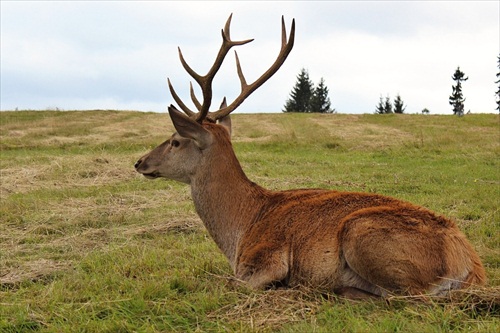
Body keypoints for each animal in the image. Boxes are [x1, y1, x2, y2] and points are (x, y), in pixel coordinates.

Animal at [135, 14, 486, 298]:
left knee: (408, 298)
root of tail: (470, 265)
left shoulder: (267, 259)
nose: (140, 162)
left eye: (175, 141)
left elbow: (226, 283)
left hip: (363, 235)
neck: (241, 226)